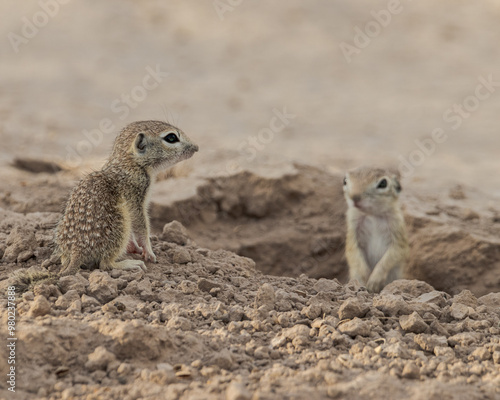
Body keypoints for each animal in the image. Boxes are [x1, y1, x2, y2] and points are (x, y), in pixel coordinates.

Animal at [344, 166, 410, 294]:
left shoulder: (397, 233)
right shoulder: (353, 231)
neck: (372, 215)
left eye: (383, 183)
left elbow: (394, 253)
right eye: (344, 181)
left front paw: (374, 281)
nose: (355, 197)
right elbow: (353, 251)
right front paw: (364, 276)